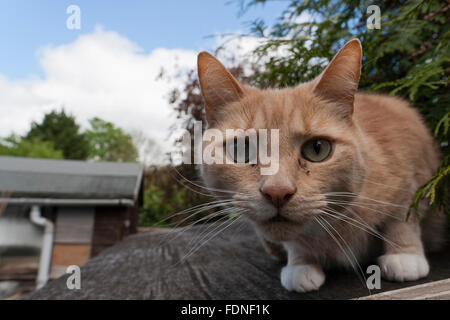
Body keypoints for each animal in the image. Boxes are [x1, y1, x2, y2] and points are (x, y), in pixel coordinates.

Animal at [195, 39, 444, 292]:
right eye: (241, 150)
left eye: (317, 148)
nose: (277, 192)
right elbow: (296, 244)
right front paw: (300, 264)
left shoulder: (413, 173)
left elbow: (402, 218)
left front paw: (404, 255)